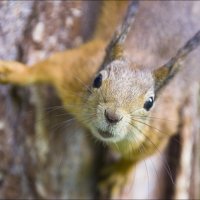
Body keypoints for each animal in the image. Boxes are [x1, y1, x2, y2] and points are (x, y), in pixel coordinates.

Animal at [0, 0, 200, 198]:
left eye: (150, 103)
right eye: (97, 80)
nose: (112, 116)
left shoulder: (160, 129)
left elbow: (138, 156)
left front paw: (120, 173)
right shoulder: (77, 70)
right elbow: (51, 66)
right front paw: (16, 72)